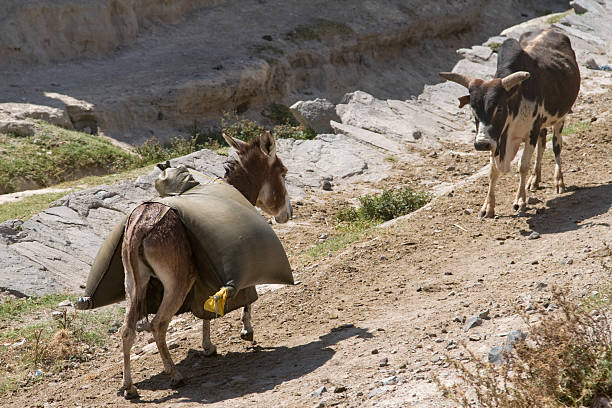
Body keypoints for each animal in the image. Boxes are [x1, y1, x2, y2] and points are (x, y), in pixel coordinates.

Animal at [440, 29, 580, 218]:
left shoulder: (530, 133)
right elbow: (493, 171)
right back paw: (535, 179)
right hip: (540, 126)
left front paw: (520, 201)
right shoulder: (497, 139)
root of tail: (550, 30)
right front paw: (488, 207)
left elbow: (523, 166)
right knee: (542, 145)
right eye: (473, 110)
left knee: (556, 146)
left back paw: (558, 181)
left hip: (560, 118)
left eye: (499, 108)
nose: (481, 144)